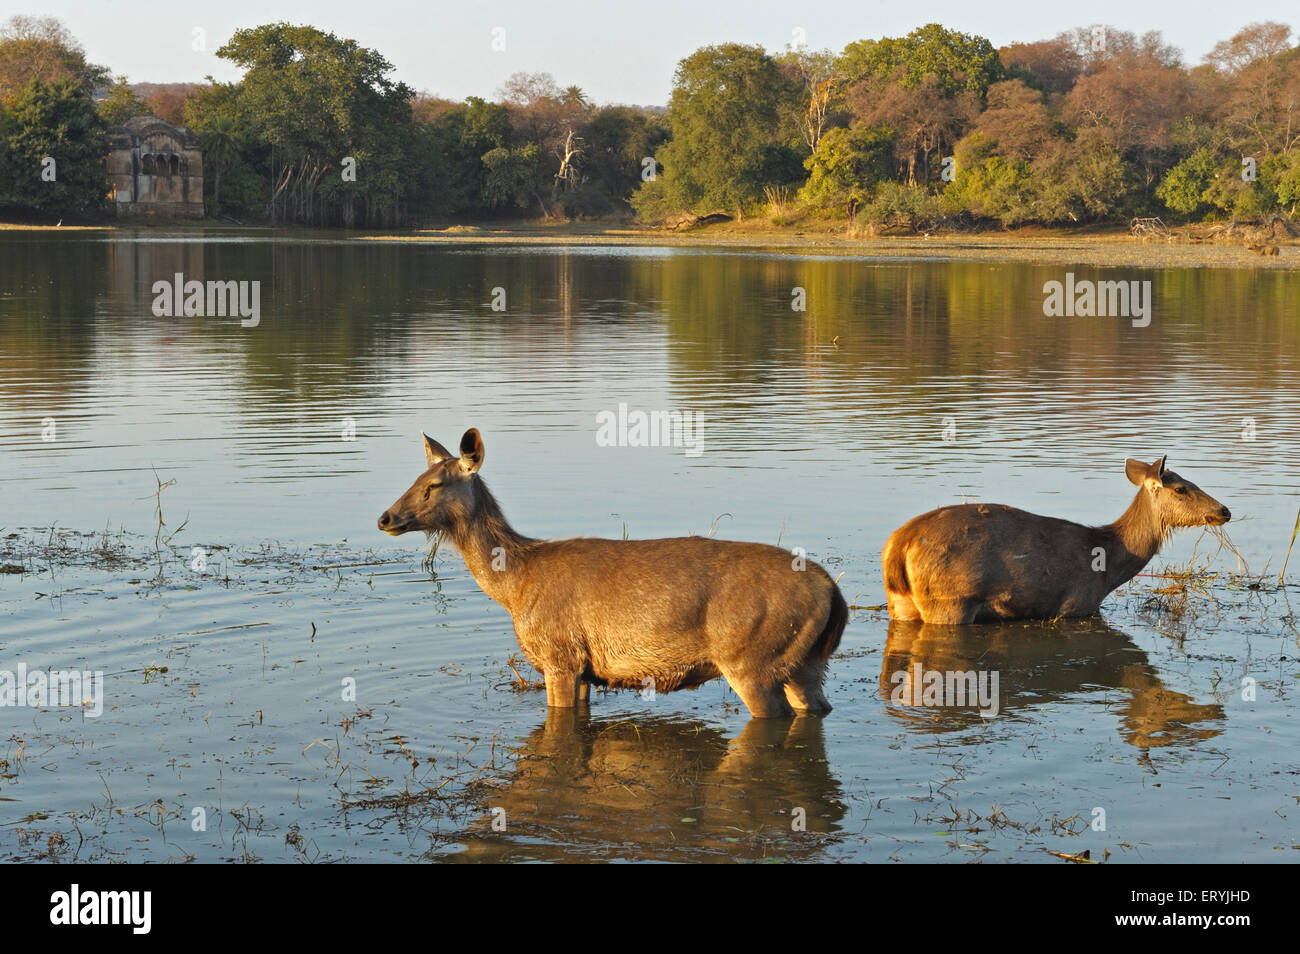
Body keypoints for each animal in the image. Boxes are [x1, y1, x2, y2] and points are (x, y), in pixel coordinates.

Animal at [379, 431, 842, 717]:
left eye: (435, 484)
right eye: (417, 476)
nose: (386, 517)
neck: (515, 587)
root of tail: (834, 594)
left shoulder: (559, 656)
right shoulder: (585, 669)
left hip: (751, 659)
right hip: (806, 663)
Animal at [883, 457, 1227, 629]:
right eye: (1181, 489)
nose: (1224, 510)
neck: (1108, 571)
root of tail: (898, 546)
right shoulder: (1076, 605)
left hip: (901, 604)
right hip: (950, 599)